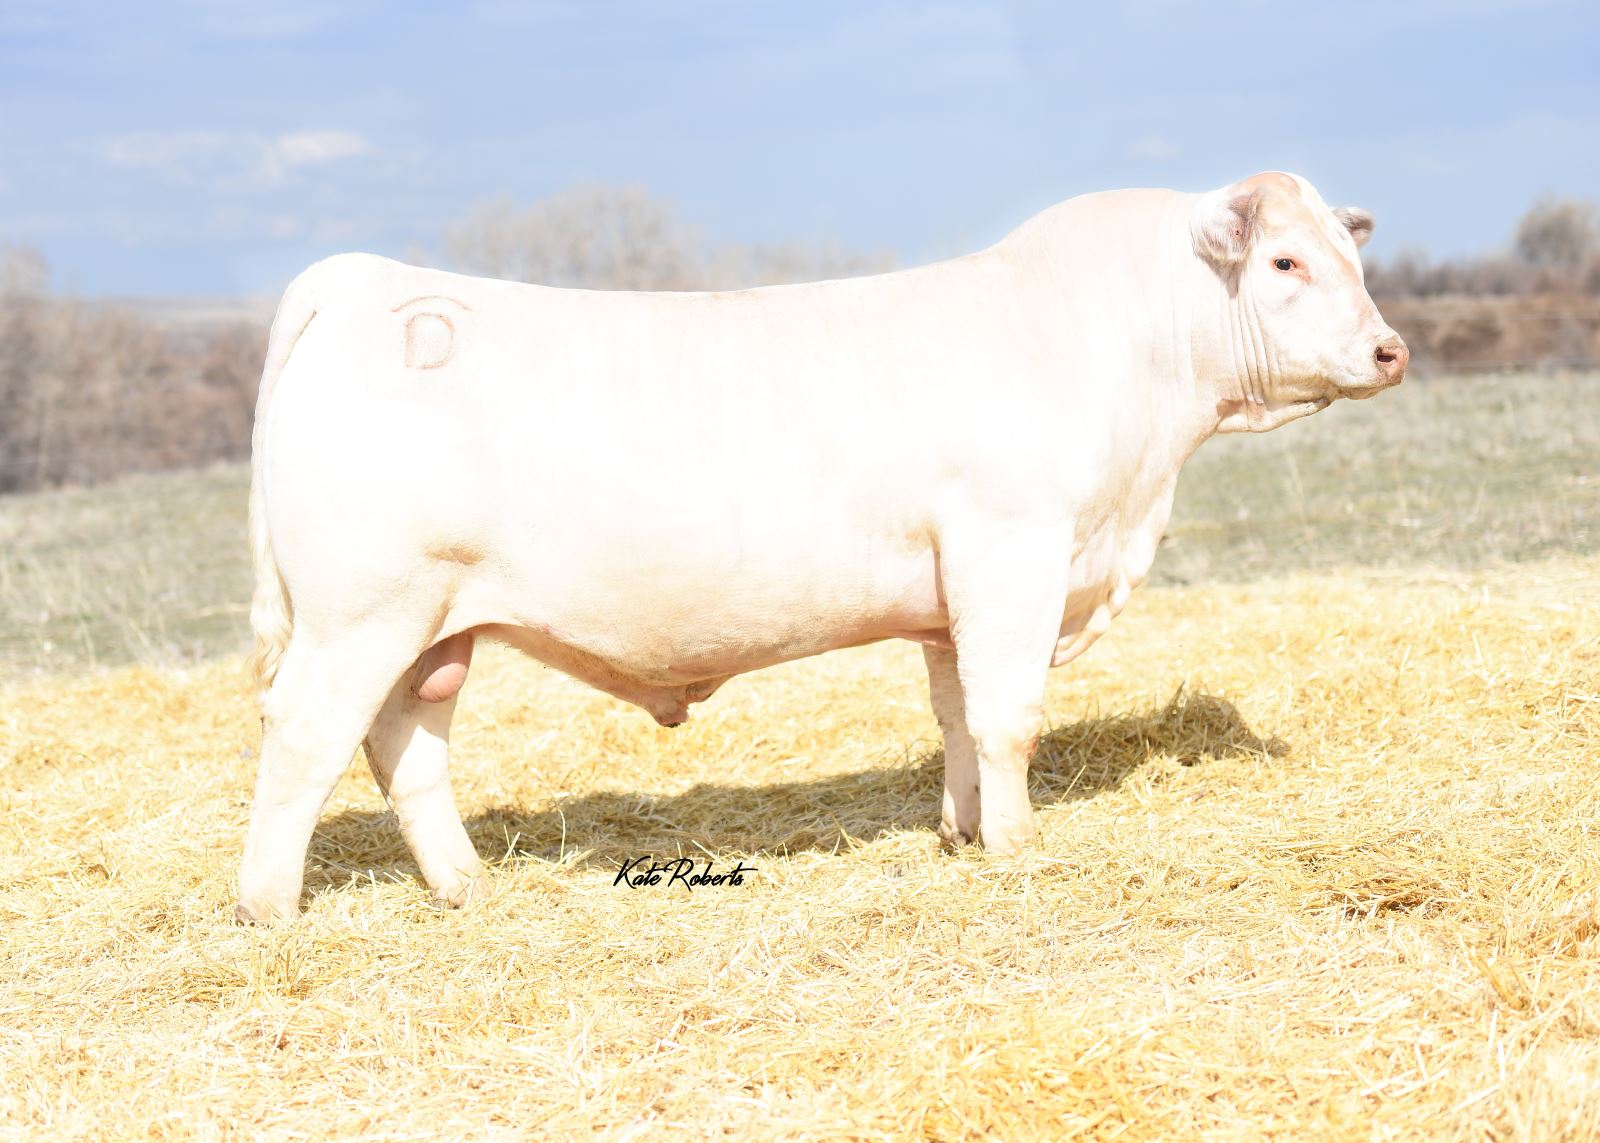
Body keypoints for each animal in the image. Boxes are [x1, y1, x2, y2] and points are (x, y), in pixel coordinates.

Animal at [235, 171, 1406, 923]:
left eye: (1351, 255)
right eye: (1286, 259)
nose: (1390, 350)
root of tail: (360, 282)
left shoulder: (951, 594)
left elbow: (956, 718)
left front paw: (962, 830)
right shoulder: (1012, 554)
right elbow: (1009, 718)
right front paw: (1018, 848)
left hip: (431, 624)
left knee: (405, 747)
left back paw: (464, 887)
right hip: (361, 614)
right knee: (304, 736)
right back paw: (268, 911)